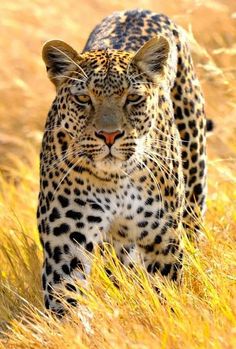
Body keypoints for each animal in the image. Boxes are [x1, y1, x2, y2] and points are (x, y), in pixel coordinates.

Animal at [37, 8, 209, 314]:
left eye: (133, 98)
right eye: (83, 99)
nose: (109, 135)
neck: (115, 179)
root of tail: (139, 9)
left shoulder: (162, 238)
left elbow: (166, 291)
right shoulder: (65, 245)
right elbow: (66, 302)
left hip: (193, 173)